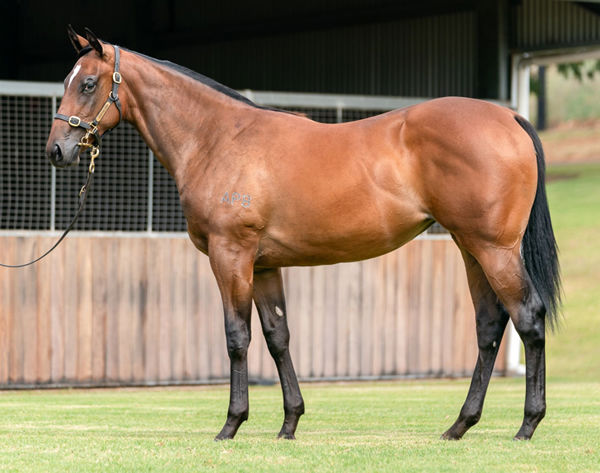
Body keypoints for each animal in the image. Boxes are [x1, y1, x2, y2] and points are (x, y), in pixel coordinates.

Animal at [44, 27, 560, 440]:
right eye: (67, 81)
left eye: (88, 83)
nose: (56, 151)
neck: (218, 138)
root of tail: (508, 117)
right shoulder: (264, 265)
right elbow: (278, 337)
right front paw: (289, 423)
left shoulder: (230, 256)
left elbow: (237, 337)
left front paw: (231, 424)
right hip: (470, 249)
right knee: (489, 326)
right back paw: (459, 426)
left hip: (494, 249)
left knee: (528, 318)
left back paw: (527, 425)